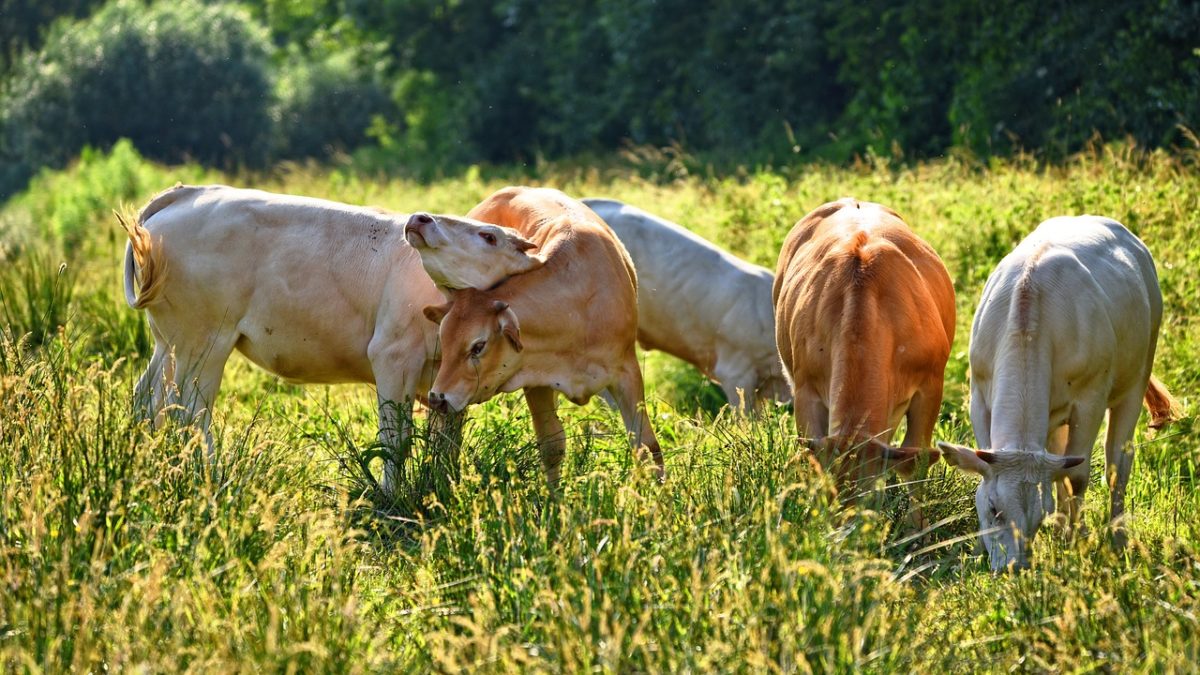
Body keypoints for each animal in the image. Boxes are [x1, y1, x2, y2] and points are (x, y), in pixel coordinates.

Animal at [120, 181, 451, 492]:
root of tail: (190, 192)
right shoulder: (394, 356)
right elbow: (395, 440)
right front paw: (391, 495)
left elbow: (443, 443)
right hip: (203, 342)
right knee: (188, 411)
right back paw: (212, 476)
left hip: (170, 343)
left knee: (149, 398)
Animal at [420, 184, 667, 482]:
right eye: (443, 339)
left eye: (478, 346)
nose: (437, 397)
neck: (577, 307)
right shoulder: (537, 382)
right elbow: (552, 447)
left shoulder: (627, 371)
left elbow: (646, 446)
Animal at [768, 196, 955, 492]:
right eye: (829, 492)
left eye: (871, 493)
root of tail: (852, 201)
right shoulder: (805, 390)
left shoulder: (930, 386)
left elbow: (917, 465)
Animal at [936, 213, 1180, 566]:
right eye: (994, 509)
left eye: (1038, 516)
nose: (1015, 568)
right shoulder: (979, 396)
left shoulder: (1090, 400)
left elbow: (1077, 475)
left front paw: (1075, 541)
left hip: (1137, 374)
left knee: (1118, 465)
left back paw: (1116, 537)